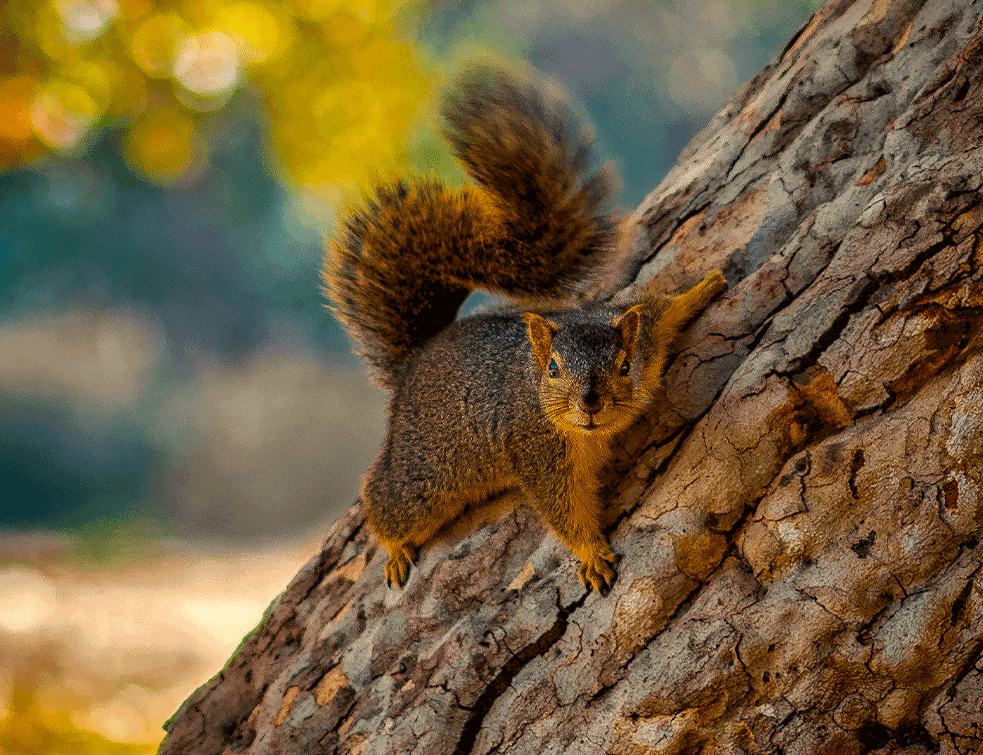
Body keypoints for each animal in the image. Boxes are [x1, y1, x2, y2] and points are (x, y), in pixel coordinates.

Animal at [322, 65, 724, 596]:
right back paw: (394, 549)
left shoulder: (641, 333)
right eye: (552, 369)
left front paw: (701, 289)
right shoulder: (538, 454)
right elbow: (563, 511)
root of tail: (419, 355)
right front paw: (591, 554)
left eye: (624, 366)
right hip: (424, 475)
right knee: (383, 500)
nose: (590, 404)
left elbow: (660, 310)